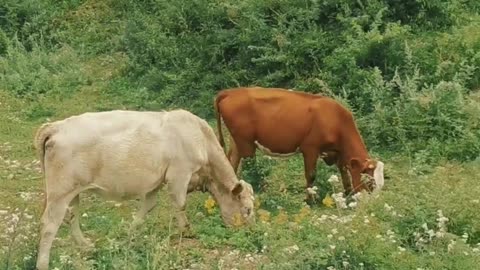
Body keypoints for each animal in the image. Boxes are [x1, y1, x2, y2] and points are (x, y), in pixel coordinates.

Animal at [33, 109, 255, 270]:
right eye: (248, 210)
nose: (251, 231)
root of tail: (56, 126)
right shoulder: (179, 174)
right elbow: (180, 204)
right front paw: (187, 231)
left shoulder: (155, 183)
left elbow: (147, 208)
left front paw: (129, 235)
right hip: (60, 191)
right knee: (50, 224)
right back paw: (43, 264)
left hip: (72, 192)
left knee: (71, 216)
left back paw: (86, 246)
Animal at [216, 86, 384, 200]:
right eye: (370, 182)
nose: (373, 202)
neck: (336, 119)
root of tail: (231, 92)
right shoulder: (310, 149)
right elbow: (311, 175)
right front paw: (310, 199)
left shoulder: (337, 153)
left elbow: (344, 171)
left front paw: (348, 192)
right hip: (246, 143)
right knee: (249, 166)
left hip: (236, 142)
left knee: (231, 162)